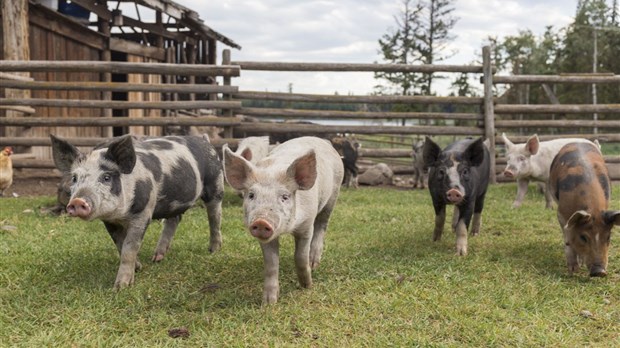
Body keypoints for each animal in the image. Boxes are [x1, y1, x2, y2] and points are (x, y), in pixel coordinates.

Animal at [50, 133, 225, 288]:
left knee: (215, 217)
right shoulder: (109, 220)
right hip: (173, 202)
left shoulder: (143, 213)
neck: (122, 214)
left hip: (216, 184)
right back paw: (157, 258)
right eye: (74, 178)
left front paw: (121, 287)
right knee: (174, 219)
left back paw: (213, 250)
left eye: (106, 177)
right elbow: (120, 244)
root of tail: (205, 140)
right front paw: (138, 268)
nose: (78, 201)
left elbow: (130, 246)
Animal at [223, 136, 344, 304]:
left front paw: (307, 286)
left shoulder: (306, 226)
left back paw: (314, 263)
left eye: (285, 197)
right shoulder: (266, 239)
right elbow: (271, 265)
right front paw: (269, 303)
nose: (261, 221)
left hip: (333, 195)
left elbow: (300, 257)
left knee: (322, 224)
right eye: (251, 195)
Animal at [548, 141, 616, 278]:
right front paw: (573, 270)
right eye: (583, 237)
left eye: (608, 237)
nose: (599, 272)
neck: (593, 210)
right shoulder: (561, 214)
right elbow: (567, 238)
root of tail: (576, 141)